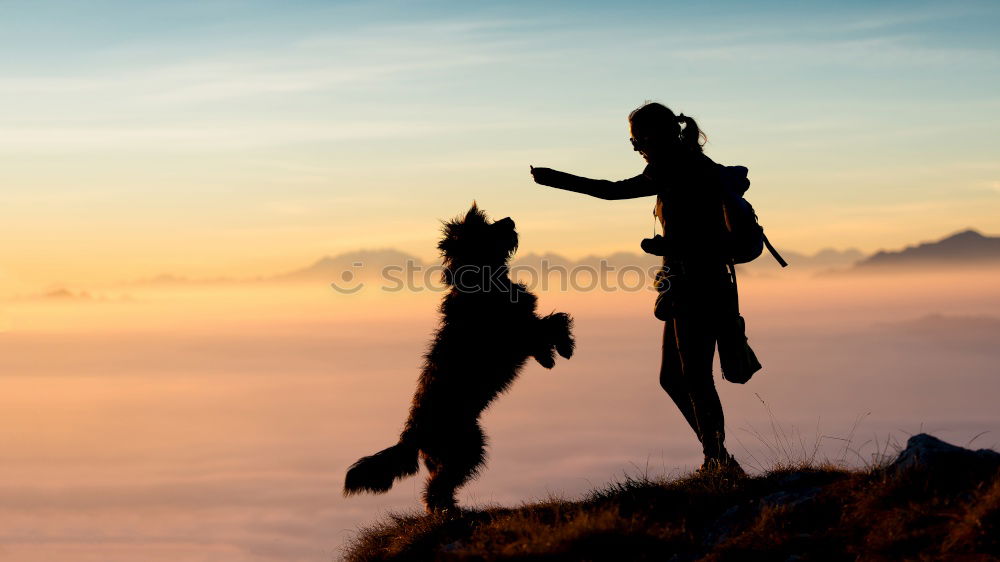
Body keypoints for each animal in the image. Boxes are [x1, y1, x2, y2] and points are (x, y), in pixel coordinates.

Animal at [344, 203, 576, 510]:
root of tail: (411, 436)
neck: (480, 281)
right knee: (437, 488)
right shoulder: (518, 331)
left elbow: (546, 327)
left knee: (436, 485)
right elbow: (554, 322)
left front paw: (548, 358)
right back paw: (450, 510)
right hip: (466, 448)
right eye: (484, 227)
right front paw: (565, 347)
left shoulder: (524, 329)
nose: (510, 219)